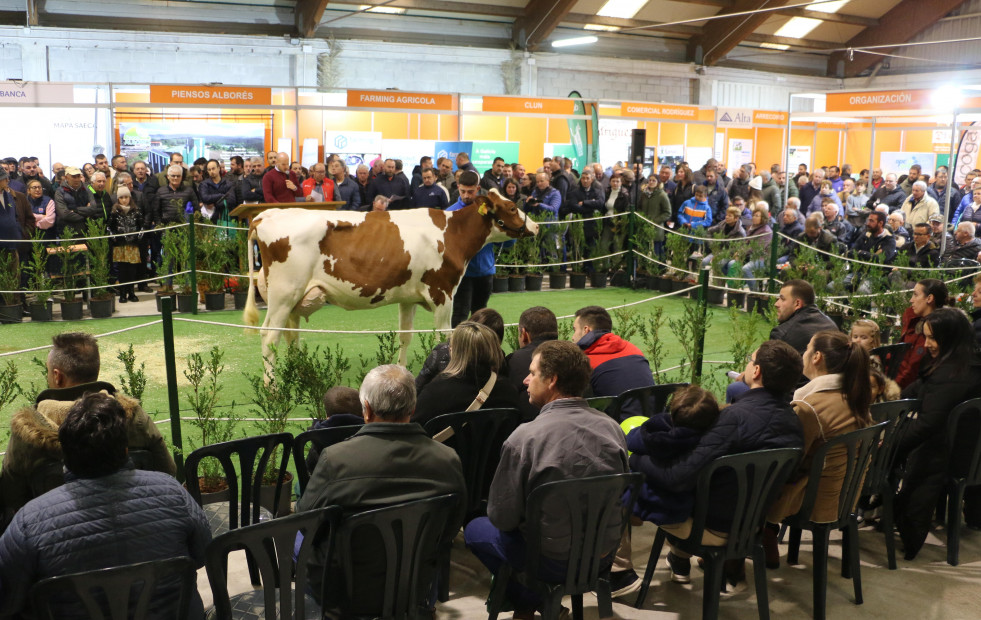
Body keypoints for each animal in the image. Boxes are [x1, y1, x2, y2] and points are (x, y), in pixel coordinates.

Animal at [242, 193, 540, 368]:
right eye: (512, 207)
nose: (536, 226)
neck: (451, 233)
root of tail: (266, 214)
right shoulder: (443, 293)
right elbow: (445, 336)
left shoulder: (407, 297)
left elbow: (405, 336)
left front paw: (400, 368)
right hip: (283, 294)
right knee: (269, 337)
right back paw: (273, 389)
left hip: (290, 298)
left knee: (290, 335)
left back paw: (296, 373)